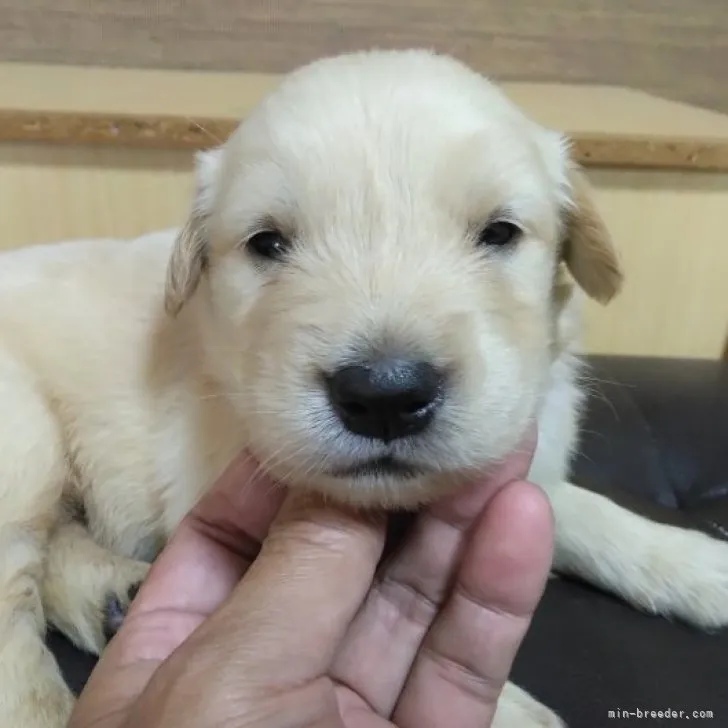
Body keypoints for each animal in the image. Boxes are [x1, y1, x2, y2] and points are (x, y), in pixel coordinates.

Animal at [1, 48, 728, 724]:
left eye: (499, 232)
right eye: (267, 243)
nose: (385, 397)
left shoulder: (524, 458)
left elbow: (580, 509)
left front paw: (694, 564)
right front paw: (507, 709)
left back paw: (114, 597)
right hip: (27, 437)